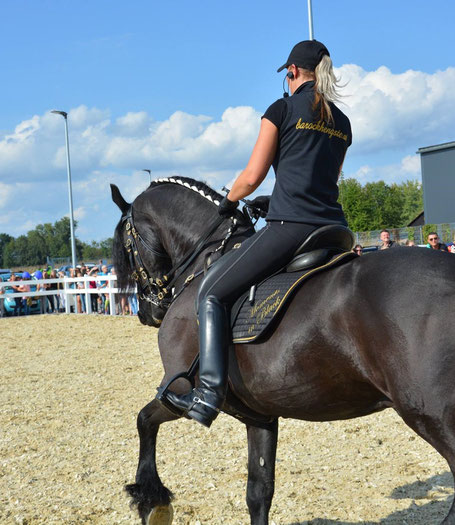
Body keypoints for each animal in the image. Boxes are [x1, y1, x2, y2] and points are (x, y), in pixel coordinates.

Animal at [112, 177, 455, 524]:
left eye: (127, 247)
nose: (147, 312)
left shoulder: (180, 391)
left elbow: (144, 420)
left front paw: (152, 500)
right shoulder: (260, 416)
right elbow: (259, 491)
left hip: (431, 415)